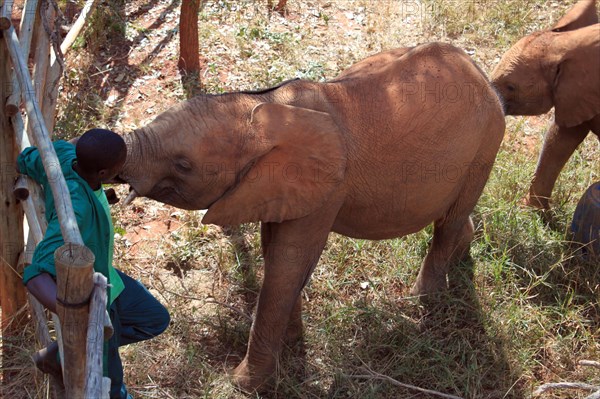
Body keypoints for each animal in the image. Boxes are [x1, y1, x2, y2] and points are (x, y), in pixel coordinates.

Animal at [119, 42, 504, 392]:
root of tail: (478, 70)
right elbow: (276, 254)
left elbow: (287, 264)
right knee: (454, 218)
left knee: (449, 222)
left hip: (485, 144)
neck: (267, 106)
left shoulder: (327, 189)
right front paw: (291, 347)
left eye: (183, 165)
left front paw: (242, 384)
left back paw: (421, 300)